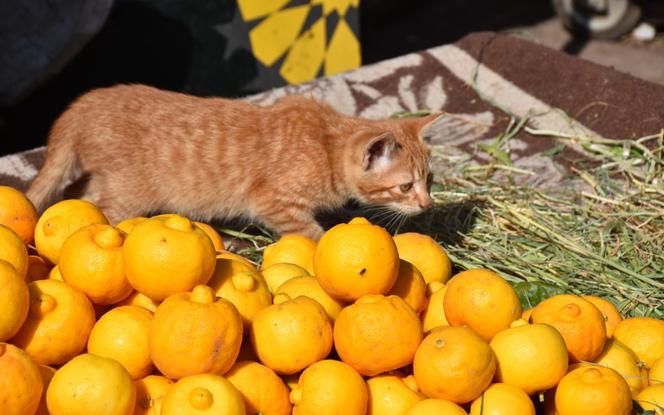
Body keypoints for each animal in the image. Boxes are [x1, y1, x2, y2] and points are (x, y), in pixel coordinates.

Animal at [28, 84, 444, 239]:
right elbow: (310, 234)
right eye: (405, 186)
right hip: (126, 195)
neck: (326, 142)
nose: (426, 205)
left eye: (430, 181)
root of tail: (81, 105)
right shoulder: (273, 203)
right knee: (92, 206)